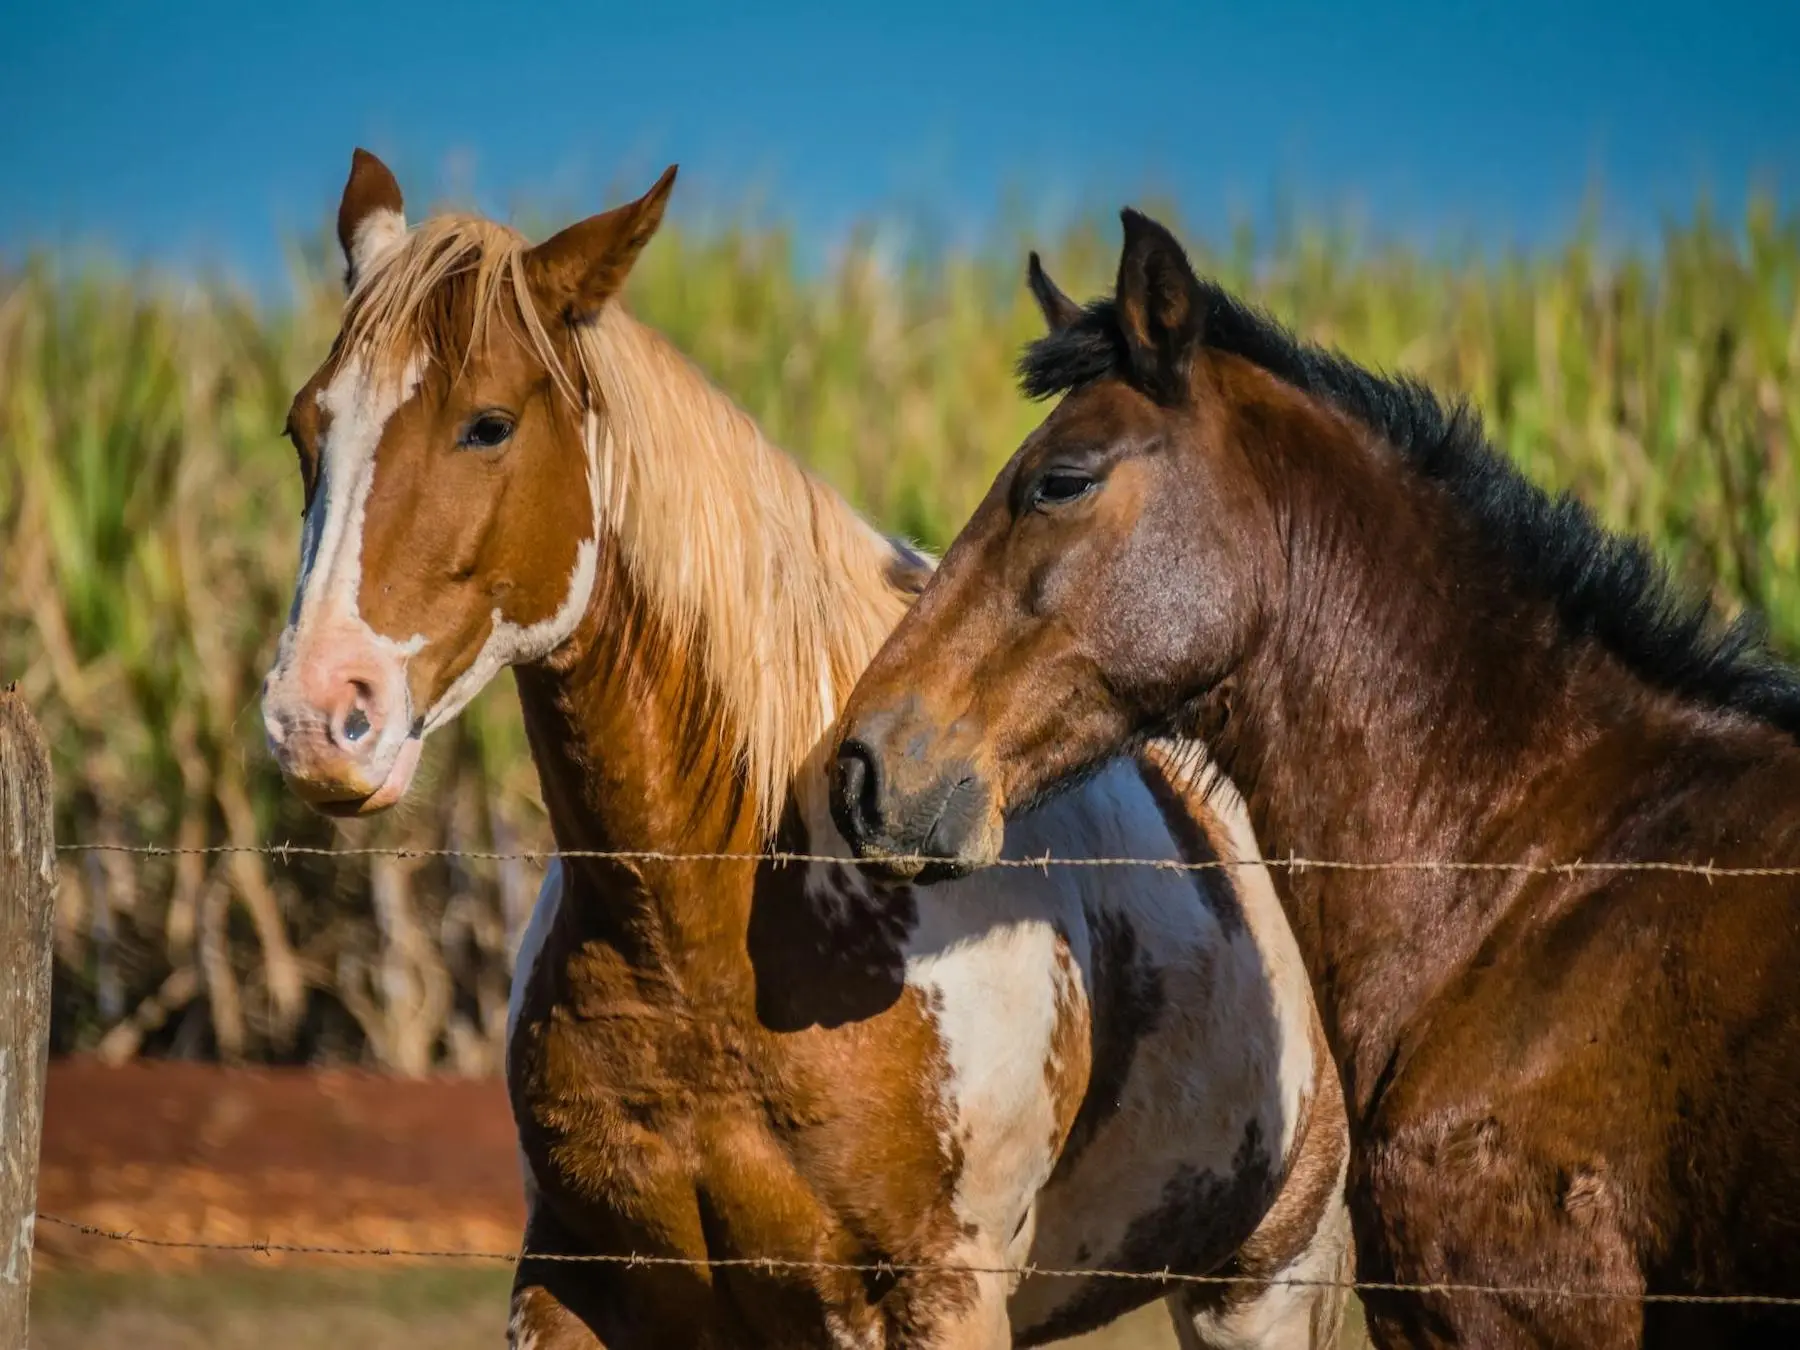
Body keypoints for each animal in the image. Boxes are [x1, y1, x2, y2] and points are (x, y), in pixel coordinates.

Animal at [257, 153, 1353, 1346]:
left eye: (488, 425)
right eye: (303, 430)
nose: (320, 716)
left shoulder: (943, 1296)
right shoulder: (568, 1283)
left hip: (1260, 1286)